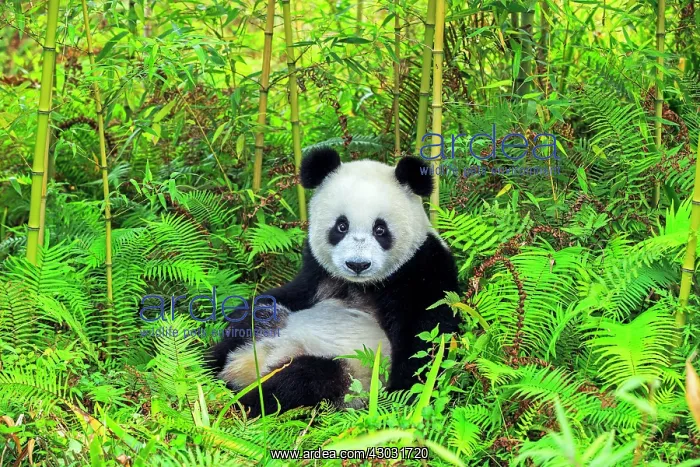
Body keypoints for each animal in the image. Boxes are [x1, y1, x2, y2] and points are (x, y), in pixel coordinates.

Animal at [208, 147, 461, 416]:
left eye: (380, 229)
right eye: (341, 226)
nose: (357, 265)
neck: (360, 284)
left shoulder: (423, 270)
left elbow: (427, 338)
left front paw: (403, 396)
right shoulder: (317, 272)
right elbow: (289, 294)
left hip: (349, 376)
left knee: (305, 381)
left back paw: (243, 402)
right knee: (255, 322)